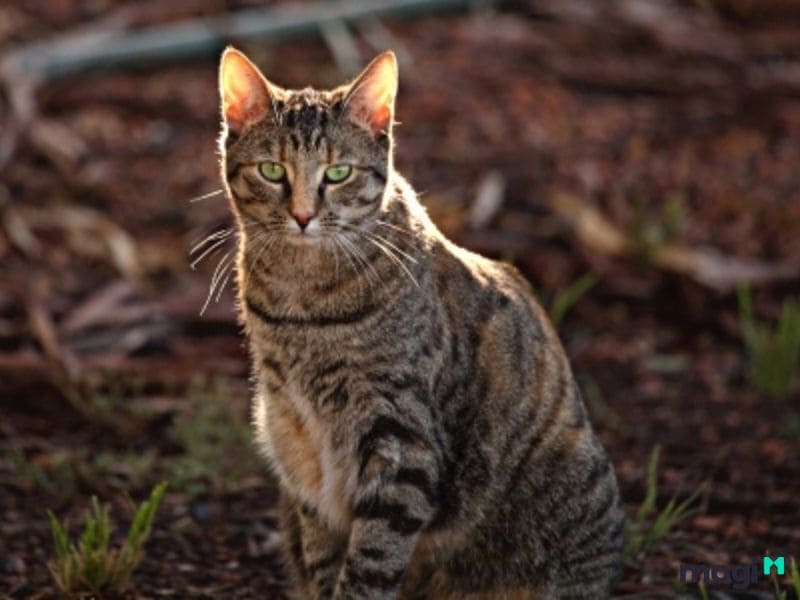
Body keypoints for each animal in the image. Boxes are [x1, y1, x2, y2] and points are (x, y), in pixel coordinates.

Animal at [219, 48, 624, 600]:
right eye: (271, 170)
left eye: (338, 173)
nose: (303, 216)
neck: (300, 300)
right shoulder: (298, 443)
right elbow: (324, 557)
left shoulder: (400, 441)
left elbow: (369, 565)